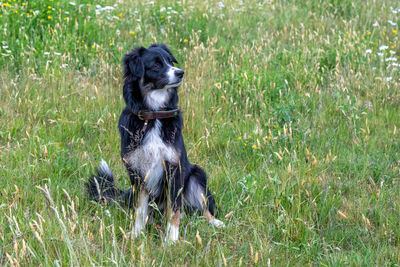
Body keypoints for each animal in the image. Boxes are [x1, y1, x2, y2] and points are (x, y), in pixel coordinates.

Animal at [87, 44, 223, 245]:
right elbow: (140, 209)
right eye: (156, 65)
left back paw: (215, 222)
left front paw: (171, 240)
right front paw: (136, 234)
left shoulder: (174, 169)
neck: (154, 115)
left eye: (170, 61)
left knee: (201, 207)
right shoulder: (137, 172)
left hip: (196, 174)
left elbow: (174, 211)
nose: (180, 73)